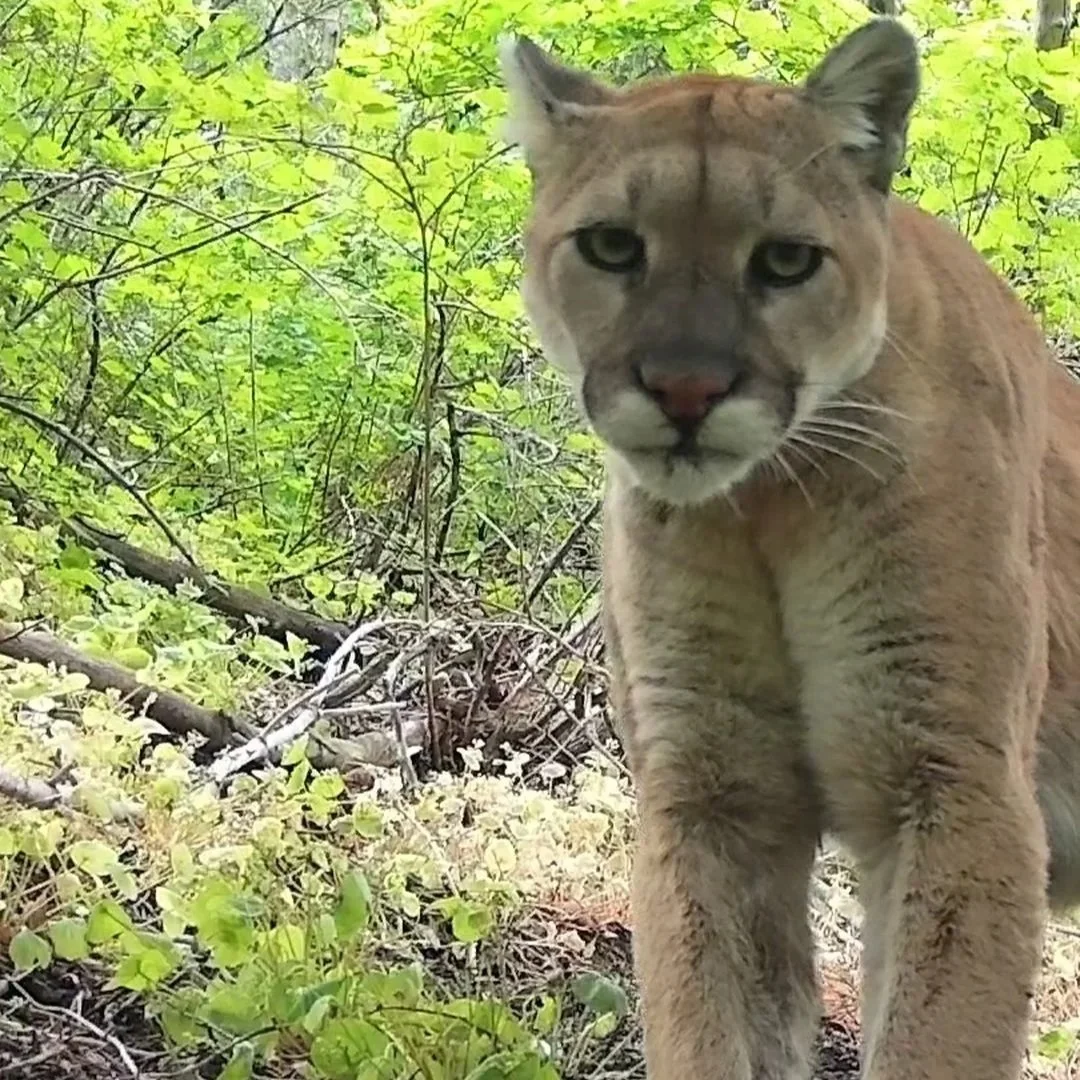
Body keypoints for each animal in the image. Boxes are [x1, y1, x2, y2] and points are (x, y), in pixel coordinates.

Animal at [499, 16, 1080, 1080]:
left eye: (784, 262)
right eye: (612, 245)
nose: (686, 390)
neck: (763, 505)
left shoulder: (953, 780)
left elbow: (934, 1039)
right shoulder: (714, 794)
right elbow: (711, 1026)